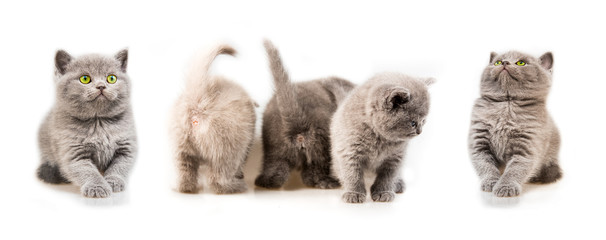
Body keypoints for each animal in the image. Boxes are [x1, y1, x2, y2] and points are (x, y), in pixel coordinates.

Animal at [38, 47, 138, 198]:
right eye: (85, 79)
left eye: (111, 78)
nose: (101, 86)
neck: (99, 122)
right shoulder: (73, 151)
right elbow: (87, 171)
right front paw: (97, 187)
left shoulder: (127, 146)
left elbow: (120, 165)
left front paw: (113, 181)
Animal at [171, 44, 256, 194]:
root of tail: (199, 100)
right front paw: (240, 175)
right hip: (227, 151)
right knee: (217, 178)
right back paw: (235, 187)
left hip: (181, 149)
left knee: (184, 174)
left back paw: (185, 188)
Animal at [255, 39, 358, 189]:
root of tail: (299, 129)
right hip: (321, 147)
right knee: (312, 174)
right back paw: (330, 182)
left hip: (275, 149)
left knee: (276, 174)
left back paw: (265, 182)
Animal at [330, 72, 434, 202]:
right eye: (413, 123)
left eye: (424, 121)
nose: (420, 131)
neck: (380, 139)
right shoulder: (349, 151)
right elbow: (352, 174)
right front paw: (354, 193)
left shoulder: (395, 158)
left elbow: (387, 177)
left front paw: (383, 192)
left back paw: (398, 184)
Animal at [470, 50, 564, 197]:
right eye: (497, 62)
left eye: (521, 63)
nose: (504, 62)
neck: (507, 104)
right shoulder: (479, 143)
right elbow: (485, 165)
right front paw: (491, 182)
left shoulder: (526, 147)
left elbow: (515, 169)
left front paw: (506, 186)